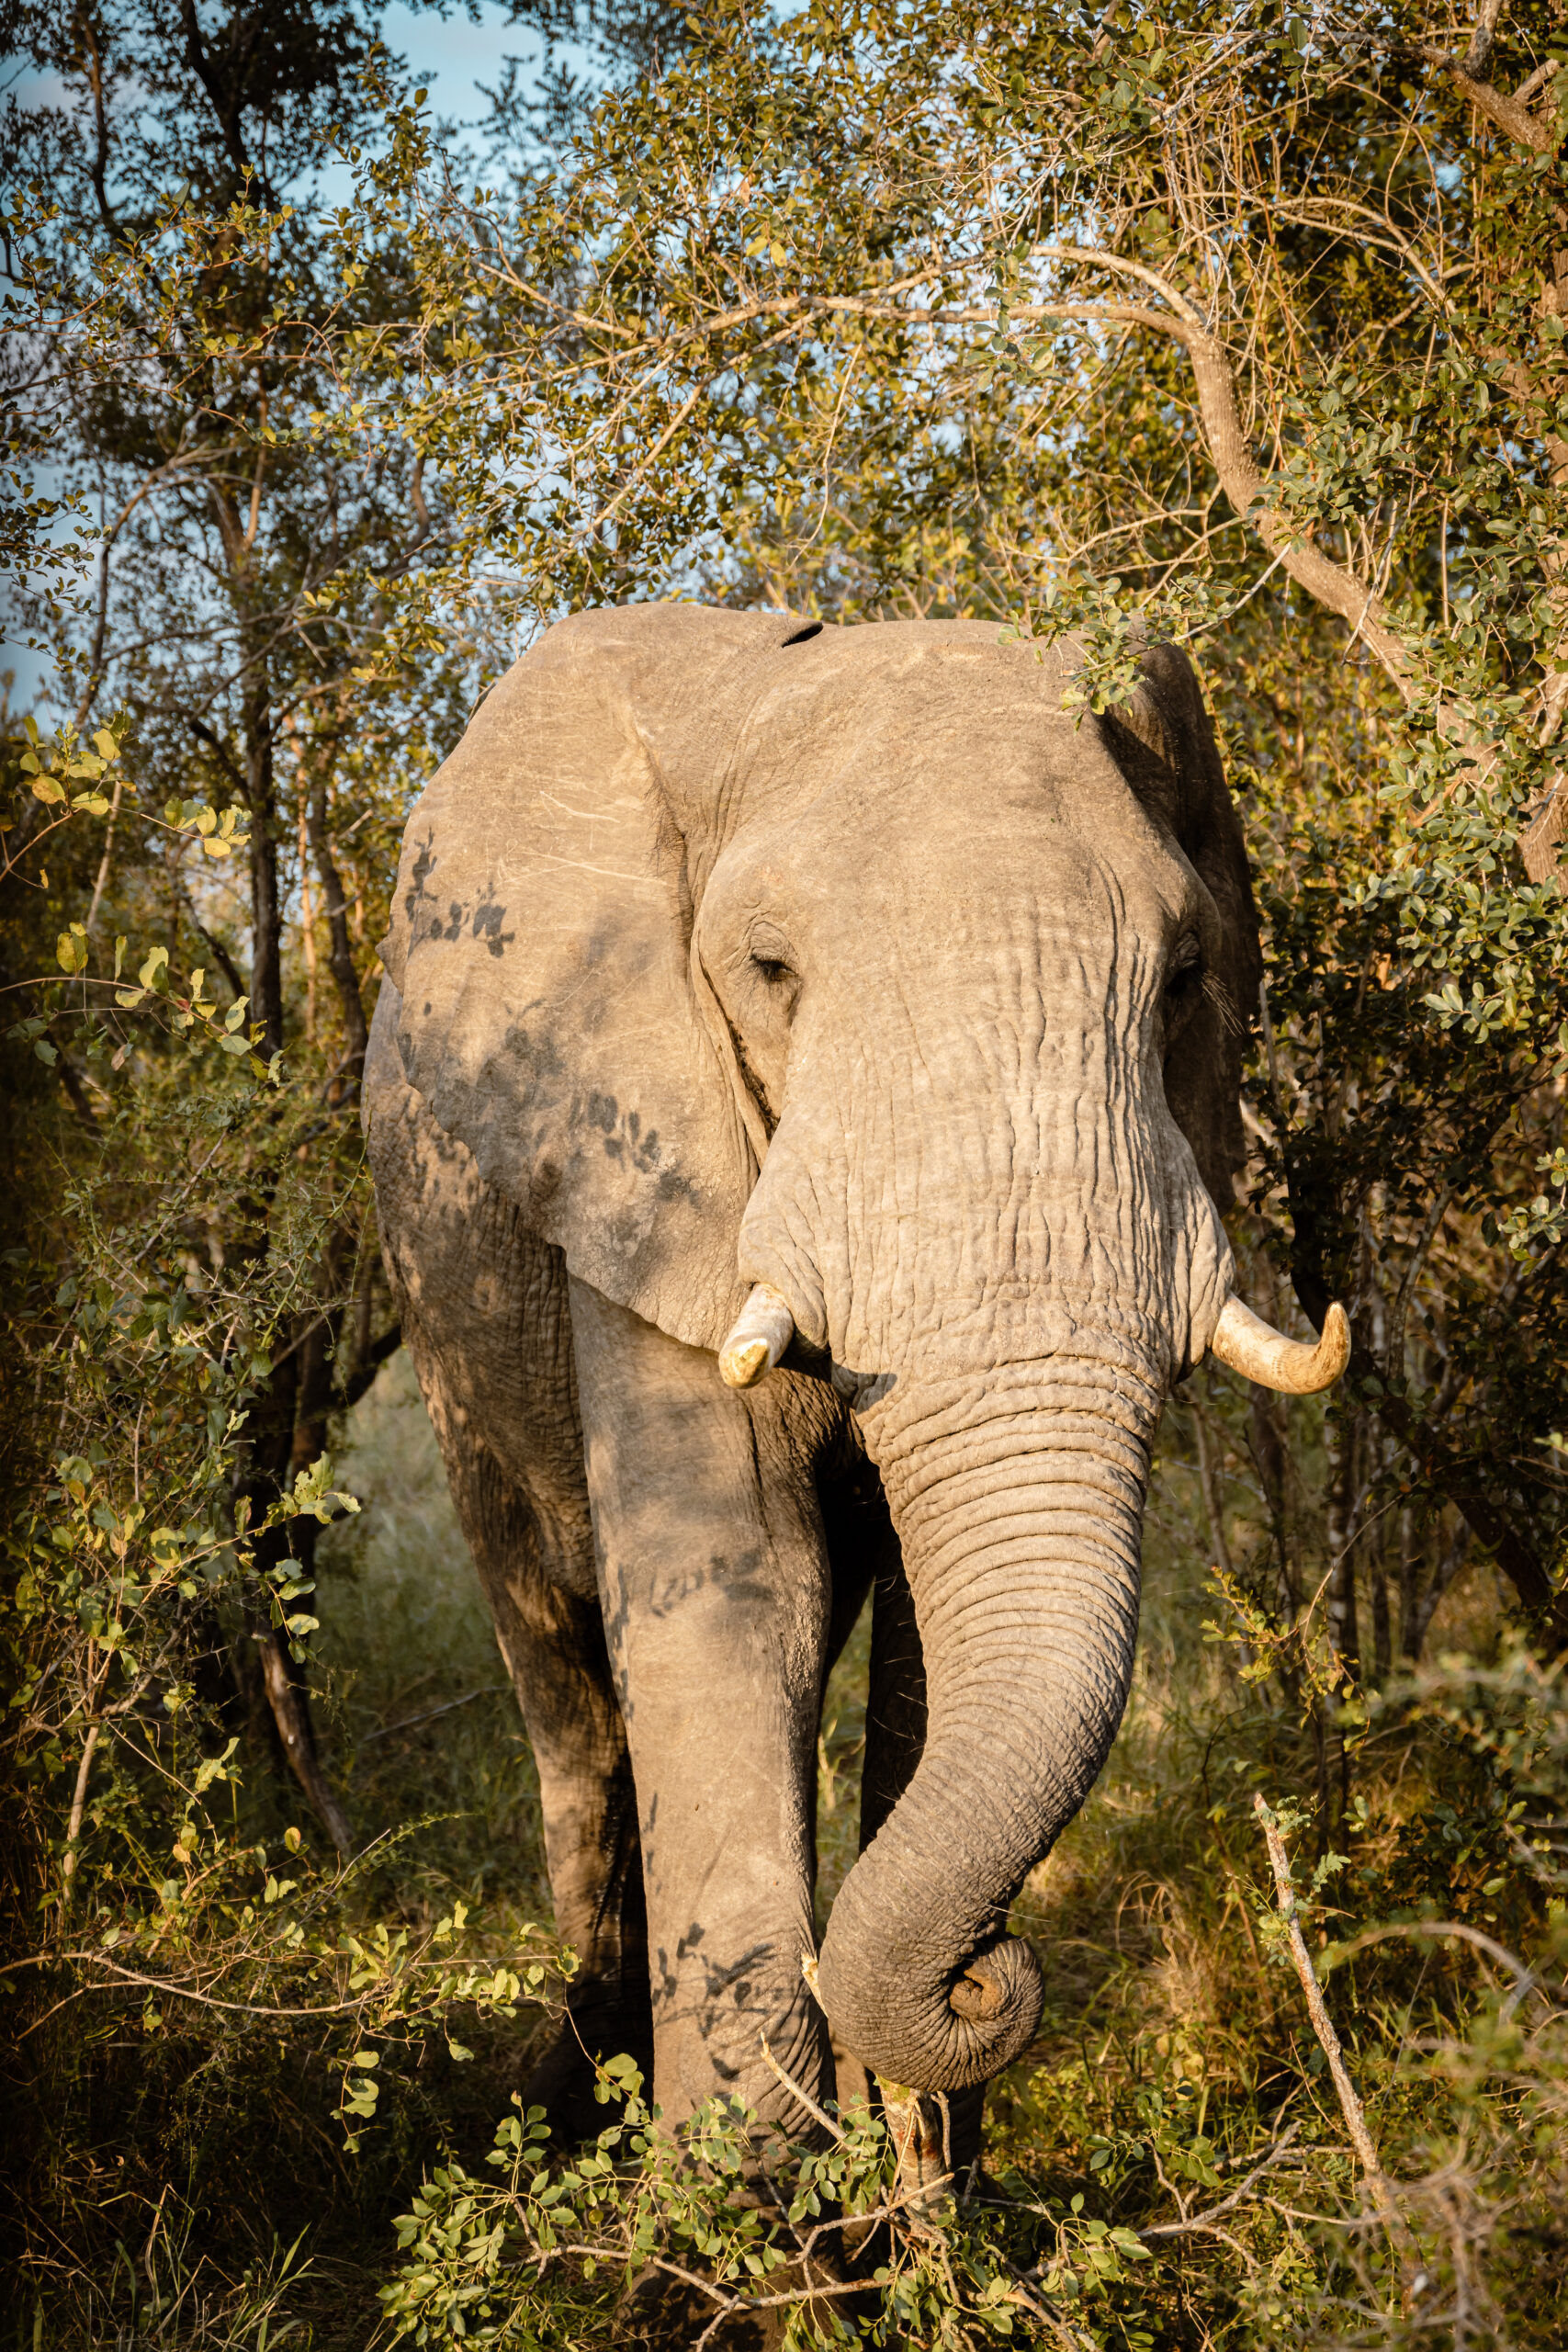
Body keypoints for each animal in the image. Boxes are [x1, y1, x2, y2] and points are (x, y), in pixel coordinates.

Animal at [362, 597, 1344, 2173]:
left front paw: (931, 2200)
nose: (986, 1968)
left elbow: (920, 1654)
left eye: (1187, 977)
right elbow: (740, 1596)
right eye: (767, 974)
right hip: (447, 1314)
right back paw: (569, 2083)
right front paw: (731, 2224)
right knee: (564, 1685)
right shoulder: (641, 1151)